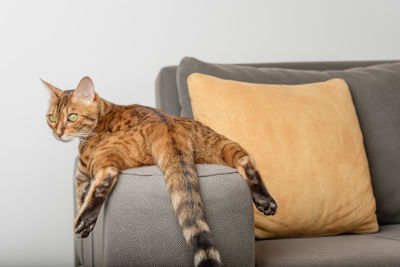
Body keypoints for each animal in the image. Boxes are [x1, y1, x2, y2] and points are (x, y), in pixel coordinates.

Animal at [42, 76, 276, 266]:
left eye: (72, 117)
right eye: (52, 118)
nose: (58, 133)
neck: (104, 112)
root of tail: (167, 124)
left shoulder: (82, 172)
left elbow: (80, 195)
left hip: (104, 150)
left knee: (107, 175)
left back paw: (84, 222)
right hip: (221, 144)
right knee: (245, 160)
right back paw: (265, 201)